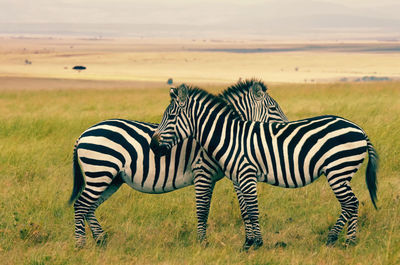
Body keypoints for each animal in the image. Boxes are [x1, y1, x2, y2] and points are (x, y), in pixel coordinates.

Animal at [69, 78, 288, 245]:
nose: (286, 127)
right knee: (81, 205)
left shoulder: (232, 171)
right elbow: (203, 208)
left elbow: (243, 208)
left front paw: (248, 241)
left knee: (90, 207)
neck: (223, 131)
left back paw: (101, 241)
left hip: (111, 178)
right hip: (100, 172)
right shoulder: (203, 171)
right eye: (273, 107)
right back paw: (81, 245)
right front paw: (203, 243)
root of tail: (83, 134)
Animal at [150, 84, 378, 250]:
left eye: (171, 117)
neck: (230, 137)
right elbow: (245, 210)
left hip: (337, 170)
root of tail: (360, 129)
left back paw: (340, 240)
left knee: (351, 203)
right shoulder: (238, 177)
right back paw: (342, 240)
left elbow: (252, 210)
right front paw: (248, 243)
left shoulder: (246, 173)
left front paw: (257, 243)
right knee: (351, 204)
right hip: (341, 173)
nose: (153, 145)